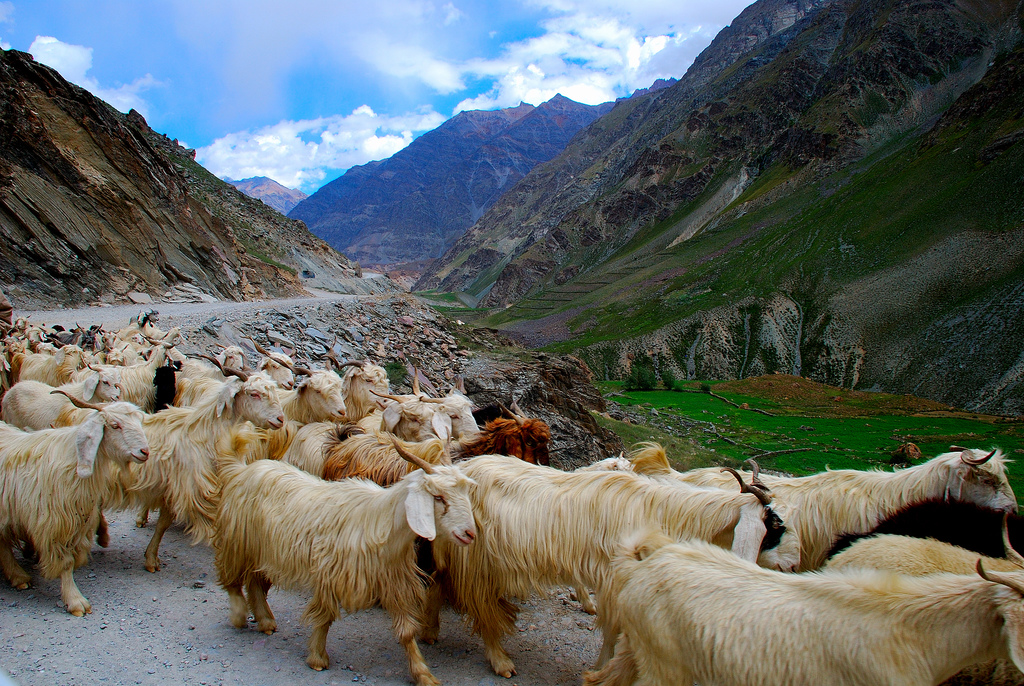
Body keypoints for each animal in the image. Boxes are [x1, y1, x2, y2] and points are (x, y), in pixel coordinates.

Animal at [0, 397, 148, 618]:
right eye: (115, 425)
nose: (145, 452)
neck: (72, 459)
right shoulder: (55, 524)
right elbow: (66, 563)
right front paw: (75, 600)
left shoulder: (79, 520)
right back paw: (19, 576)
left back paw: (18, 576)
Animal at [215, 440, 475, 683]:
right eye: (438, 497)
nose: (470, 534)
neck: (381, 521)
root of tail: (242, 470)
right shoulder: (331, 575)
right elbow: (325, 617)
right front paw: (317, 658)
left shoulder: (394, 581)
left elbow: (407, 632)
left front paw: (423, 674)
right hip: (238, 541)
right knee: (232, 580)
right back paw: (239, 616)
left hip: (261, 550)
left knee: (254, 582)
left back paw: (266, 621)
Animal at [428, 456, 794, 675]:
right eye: (774, 525)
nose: (789, 566)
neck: (664, 515)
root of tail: (461, 468)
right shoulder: (616, 581)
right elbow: (613, 633)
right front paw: (600, 670)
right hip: (474, 557)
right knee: (479, 604)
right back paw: (501, 660)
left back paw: (431, 630)